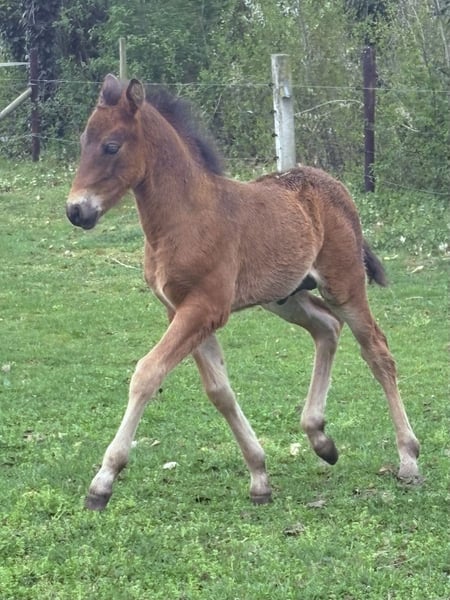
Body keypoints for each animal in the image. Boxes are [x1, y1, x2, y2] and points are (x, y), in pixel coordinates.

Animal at [66, 74, 420, 510]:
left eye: (112, 146)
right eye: (83, 141)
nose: (76, 211)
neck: (185, 217)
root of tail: (334, 186)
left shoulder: (205, 308)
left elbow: (147, 373)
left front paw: (103, 481)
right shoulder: (180, 310)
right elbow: (219, 390)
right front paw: (259, 476)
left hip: (344, 285)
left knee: (377, 351)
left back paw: (408, 459)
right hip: (285, 296)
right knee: (326, 328)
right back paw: (320, 438)